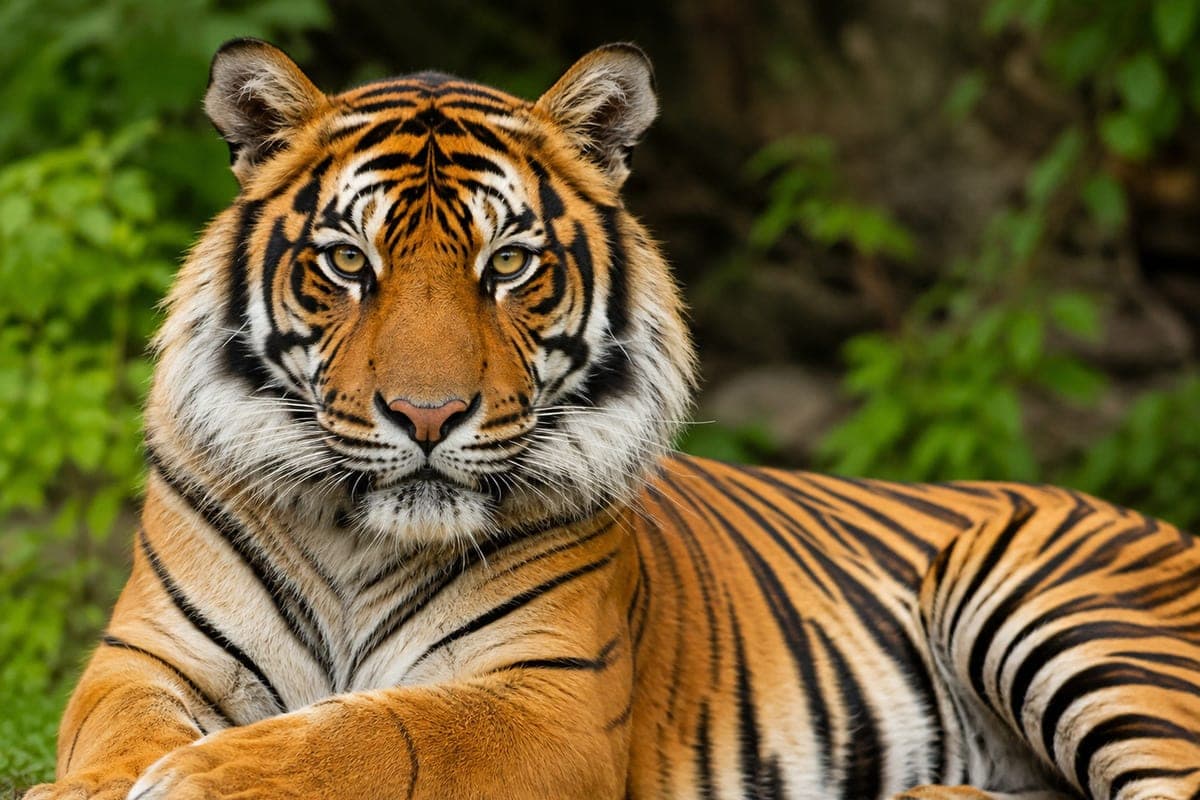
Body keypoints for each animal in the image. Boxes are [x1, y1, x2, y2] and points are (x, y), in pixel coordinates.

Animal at [23, 37, 1200, 800]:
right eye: (349, 263)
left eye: (509, 265)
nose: (426, 415)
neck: (359, 541)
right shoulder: (143, 660)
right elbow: (115, 734)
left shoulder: (552, 697)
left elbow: (384, 736)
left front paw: (202, 778)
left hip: (1052, 606)